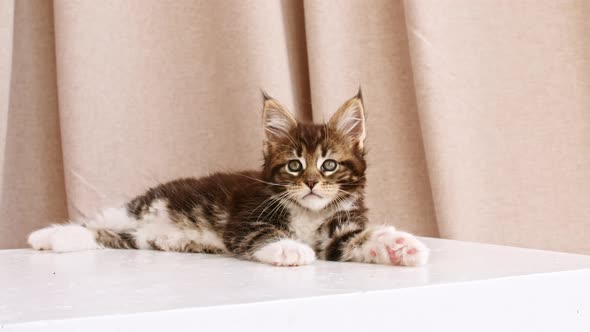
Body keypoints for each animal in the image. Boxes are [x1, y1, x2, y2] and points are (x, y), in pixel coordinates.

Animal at [27, 91, 430, 268]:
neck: (308, 212)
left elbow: (356, 241)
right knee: (95, 222)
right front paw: (290, 249)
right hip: (142, 206)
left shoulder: (336, 235)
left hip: (141, 238)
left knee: (106, 235)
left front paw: (400, 246)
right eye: (295, 166)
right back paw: (44, 236)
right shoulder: (246, 218)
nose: (312, 183)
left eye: (329, 165)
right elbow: (261, 235)